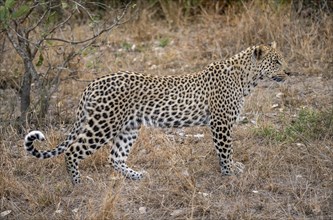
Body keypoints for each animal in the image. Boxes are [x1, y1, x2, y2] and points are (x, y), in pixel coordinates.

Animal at [24, 41, 288, 184]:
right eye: (276, 62)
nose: (289, 72)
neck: (247, 79)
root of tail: (93, 83)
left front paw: (232, 168)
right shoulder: (221, 123)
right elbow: (225, 150)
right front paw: (229, 172)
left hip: (129, 127)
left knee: (115, 157)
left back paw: (136, 176)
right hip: (103, 124)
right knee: (73, 150)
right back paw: (78, 182)